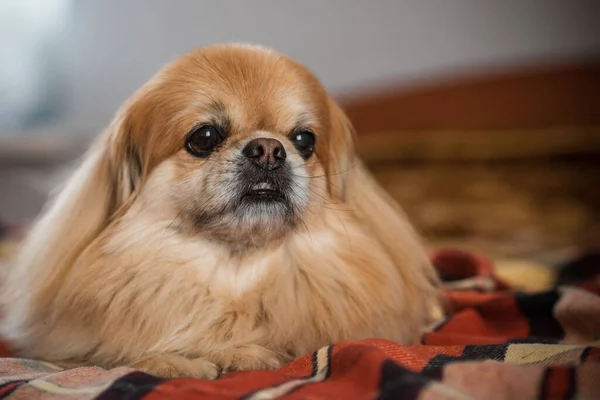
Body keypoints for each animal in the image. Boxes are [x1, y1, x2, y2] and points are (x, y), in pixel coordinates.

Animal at [0, 43, 440, 378]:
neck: (235, 271)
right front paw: (177, 361)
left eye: (304, 140)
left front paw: (241, 353)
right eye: (205, 136)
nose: (269, 149)